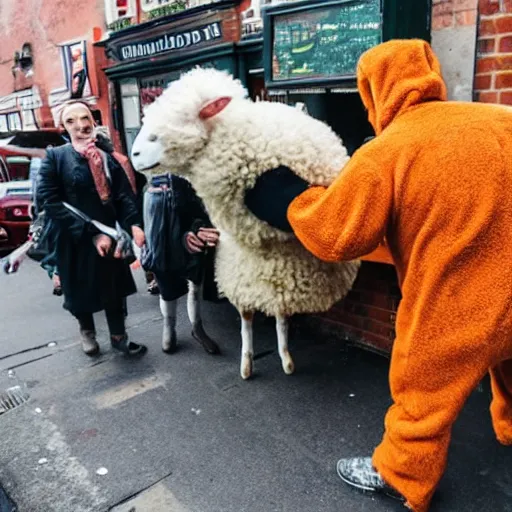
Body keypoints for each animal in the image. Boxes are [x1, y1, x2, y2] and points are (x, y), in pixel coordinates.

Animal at [132, 67, 360, 380]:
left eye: (181, 119)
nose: (133, 155)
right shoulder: (241, 269)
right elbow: (247, 317)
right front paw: (247, 363)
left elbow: (280, 316)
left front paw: (280, 358)